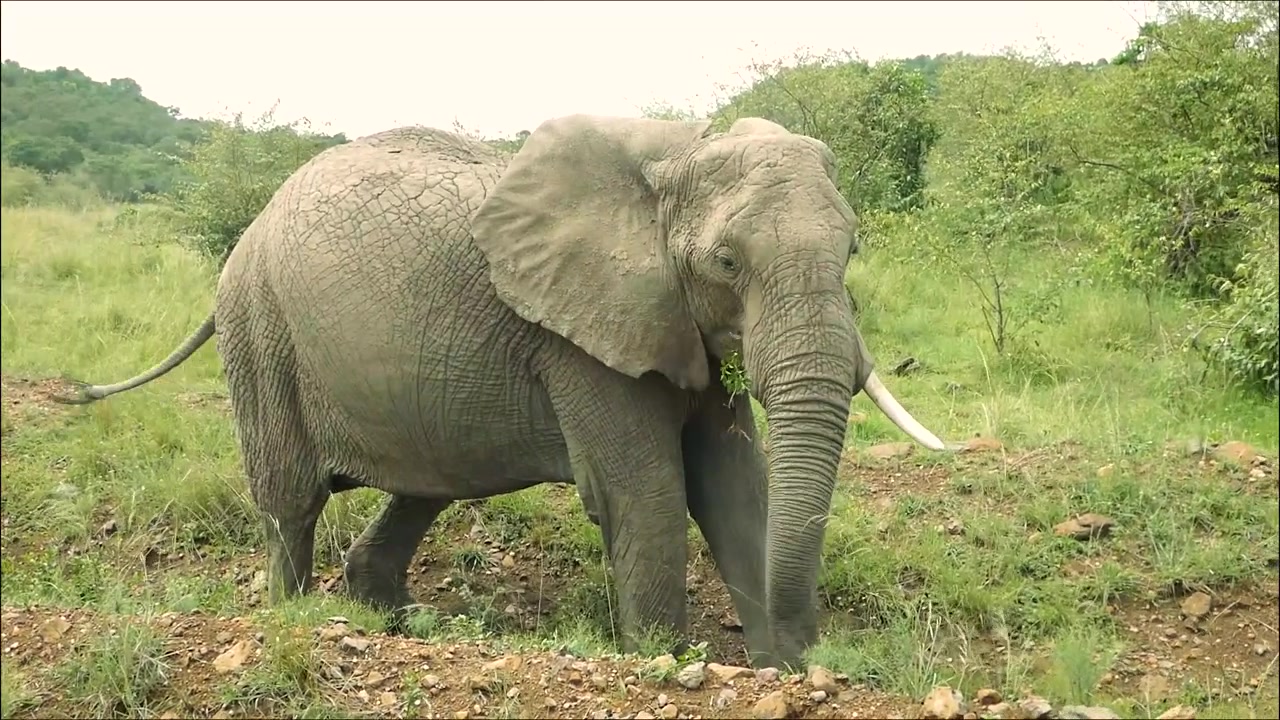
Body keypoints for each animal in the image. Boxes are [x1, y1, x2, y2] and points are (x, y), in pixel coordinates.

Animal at [56, 114, 947, 670]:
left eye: (852, 248)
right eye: (727, 263)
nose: (812, 651)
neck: (673, 157)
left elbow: (735, 489)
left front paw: (782, 673)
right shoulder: (581, 333)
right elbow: (646, 493)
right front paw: (667, 660)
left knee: (424, 483)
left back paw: (391, 622)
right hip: (260, 326)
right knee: (290, 501)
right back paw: (297, 619)